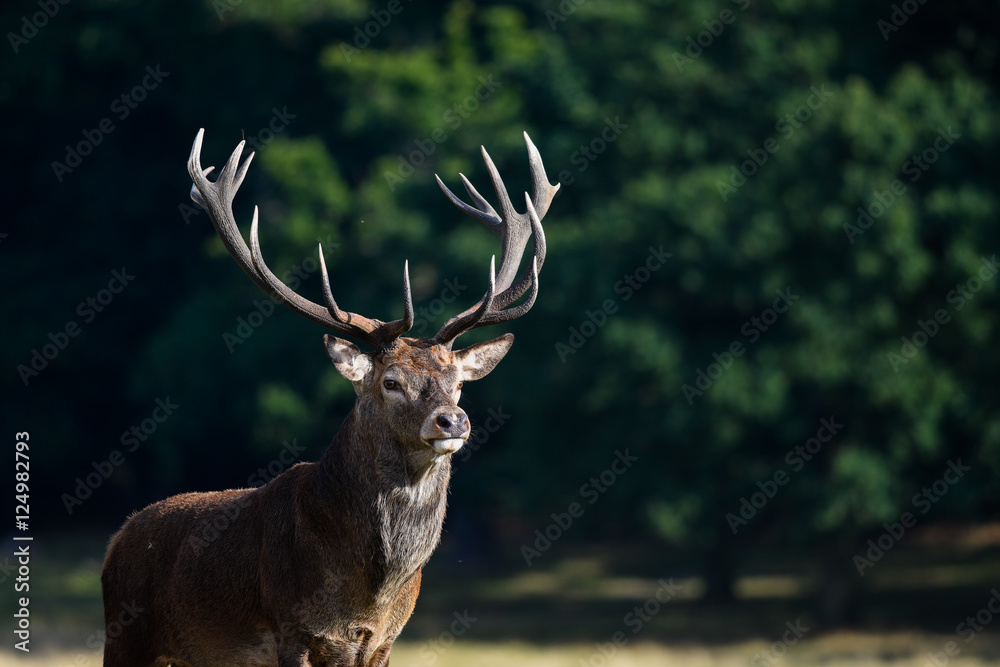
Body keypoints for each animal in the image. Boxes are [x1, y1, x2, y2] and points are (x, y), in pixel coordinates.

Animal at [99, 129, 558, 667]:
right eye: (391, 382)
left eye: (459, 381)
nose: (453, 421)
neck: (369, 595)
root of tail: (115, 543)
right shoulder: (291, 629)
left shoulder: (384, 641)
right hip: (124, 636)